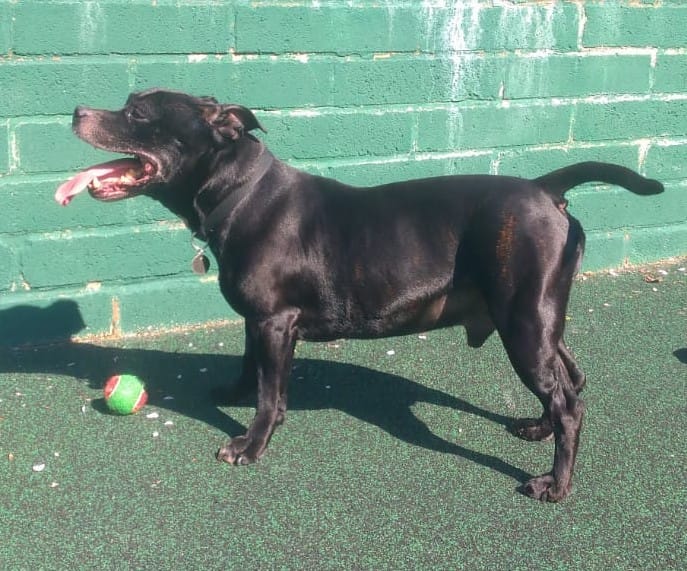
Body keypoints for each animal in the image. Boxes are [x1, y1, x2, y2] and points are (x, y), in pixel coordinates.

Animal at [55, 89, 664, 502]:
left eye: (139, 113)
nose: (77, 111)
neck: (239, 191)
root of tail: (544, 189)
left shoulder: (275, 323)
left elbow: (271, 393)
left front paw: (251, 444)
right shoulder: (259, 322)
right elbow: (250, 366)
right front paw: (234, 391)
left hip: (524, 325)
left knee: (568, 402)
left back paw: (555, 484)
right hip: (539, 320)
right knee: (571, 379)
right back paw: (537, 427)